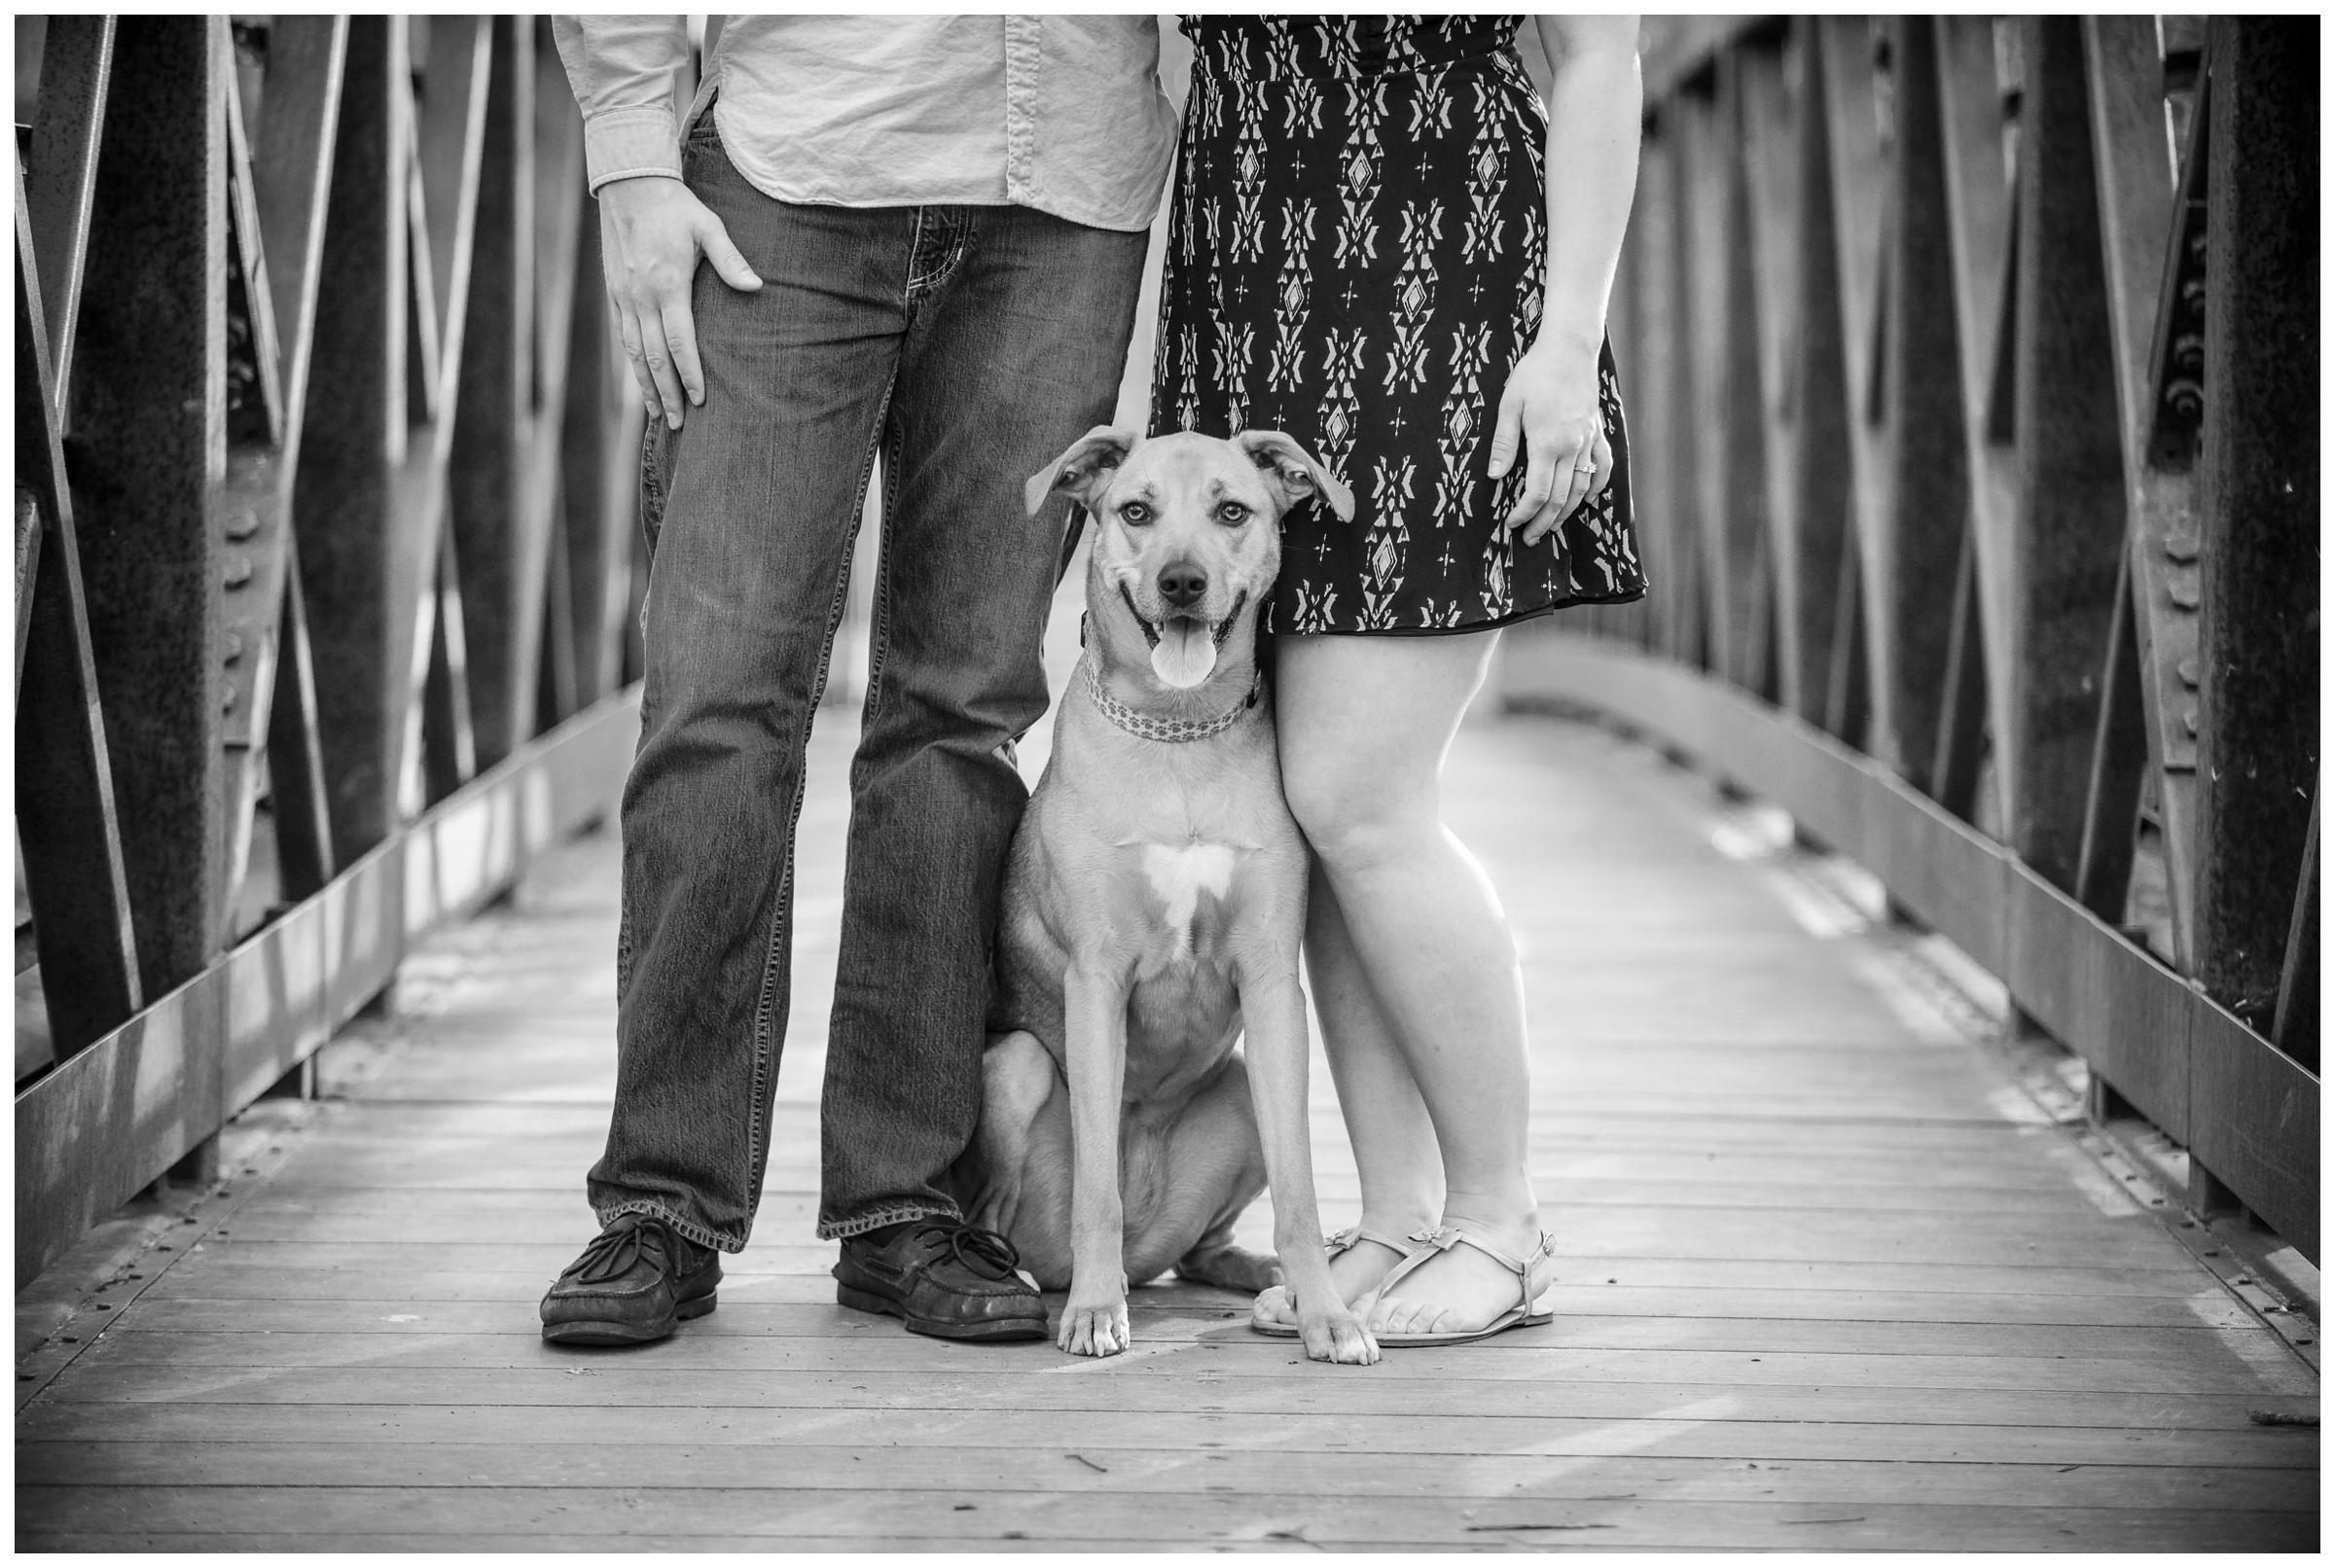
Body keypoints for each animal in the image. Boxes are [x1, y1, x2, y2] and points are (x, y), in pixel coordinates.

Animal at [976, 424, 1373, 1362]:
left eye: (1232, 511)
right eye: (1135, 511)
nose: (1182, 582)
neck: (1178, 733)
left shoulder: (1271, 986)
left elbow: (1302, 1191)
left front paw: (1328, 1314)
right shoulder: (1095, 982)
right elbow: (1096, 1188)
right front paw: (1093, 1311)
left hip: (1243, 1090)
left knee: (1200, 1248)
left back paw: (1260, 1273)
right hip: (1014, 1067)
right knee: (1018, 1215)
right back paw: (1029, 1280)